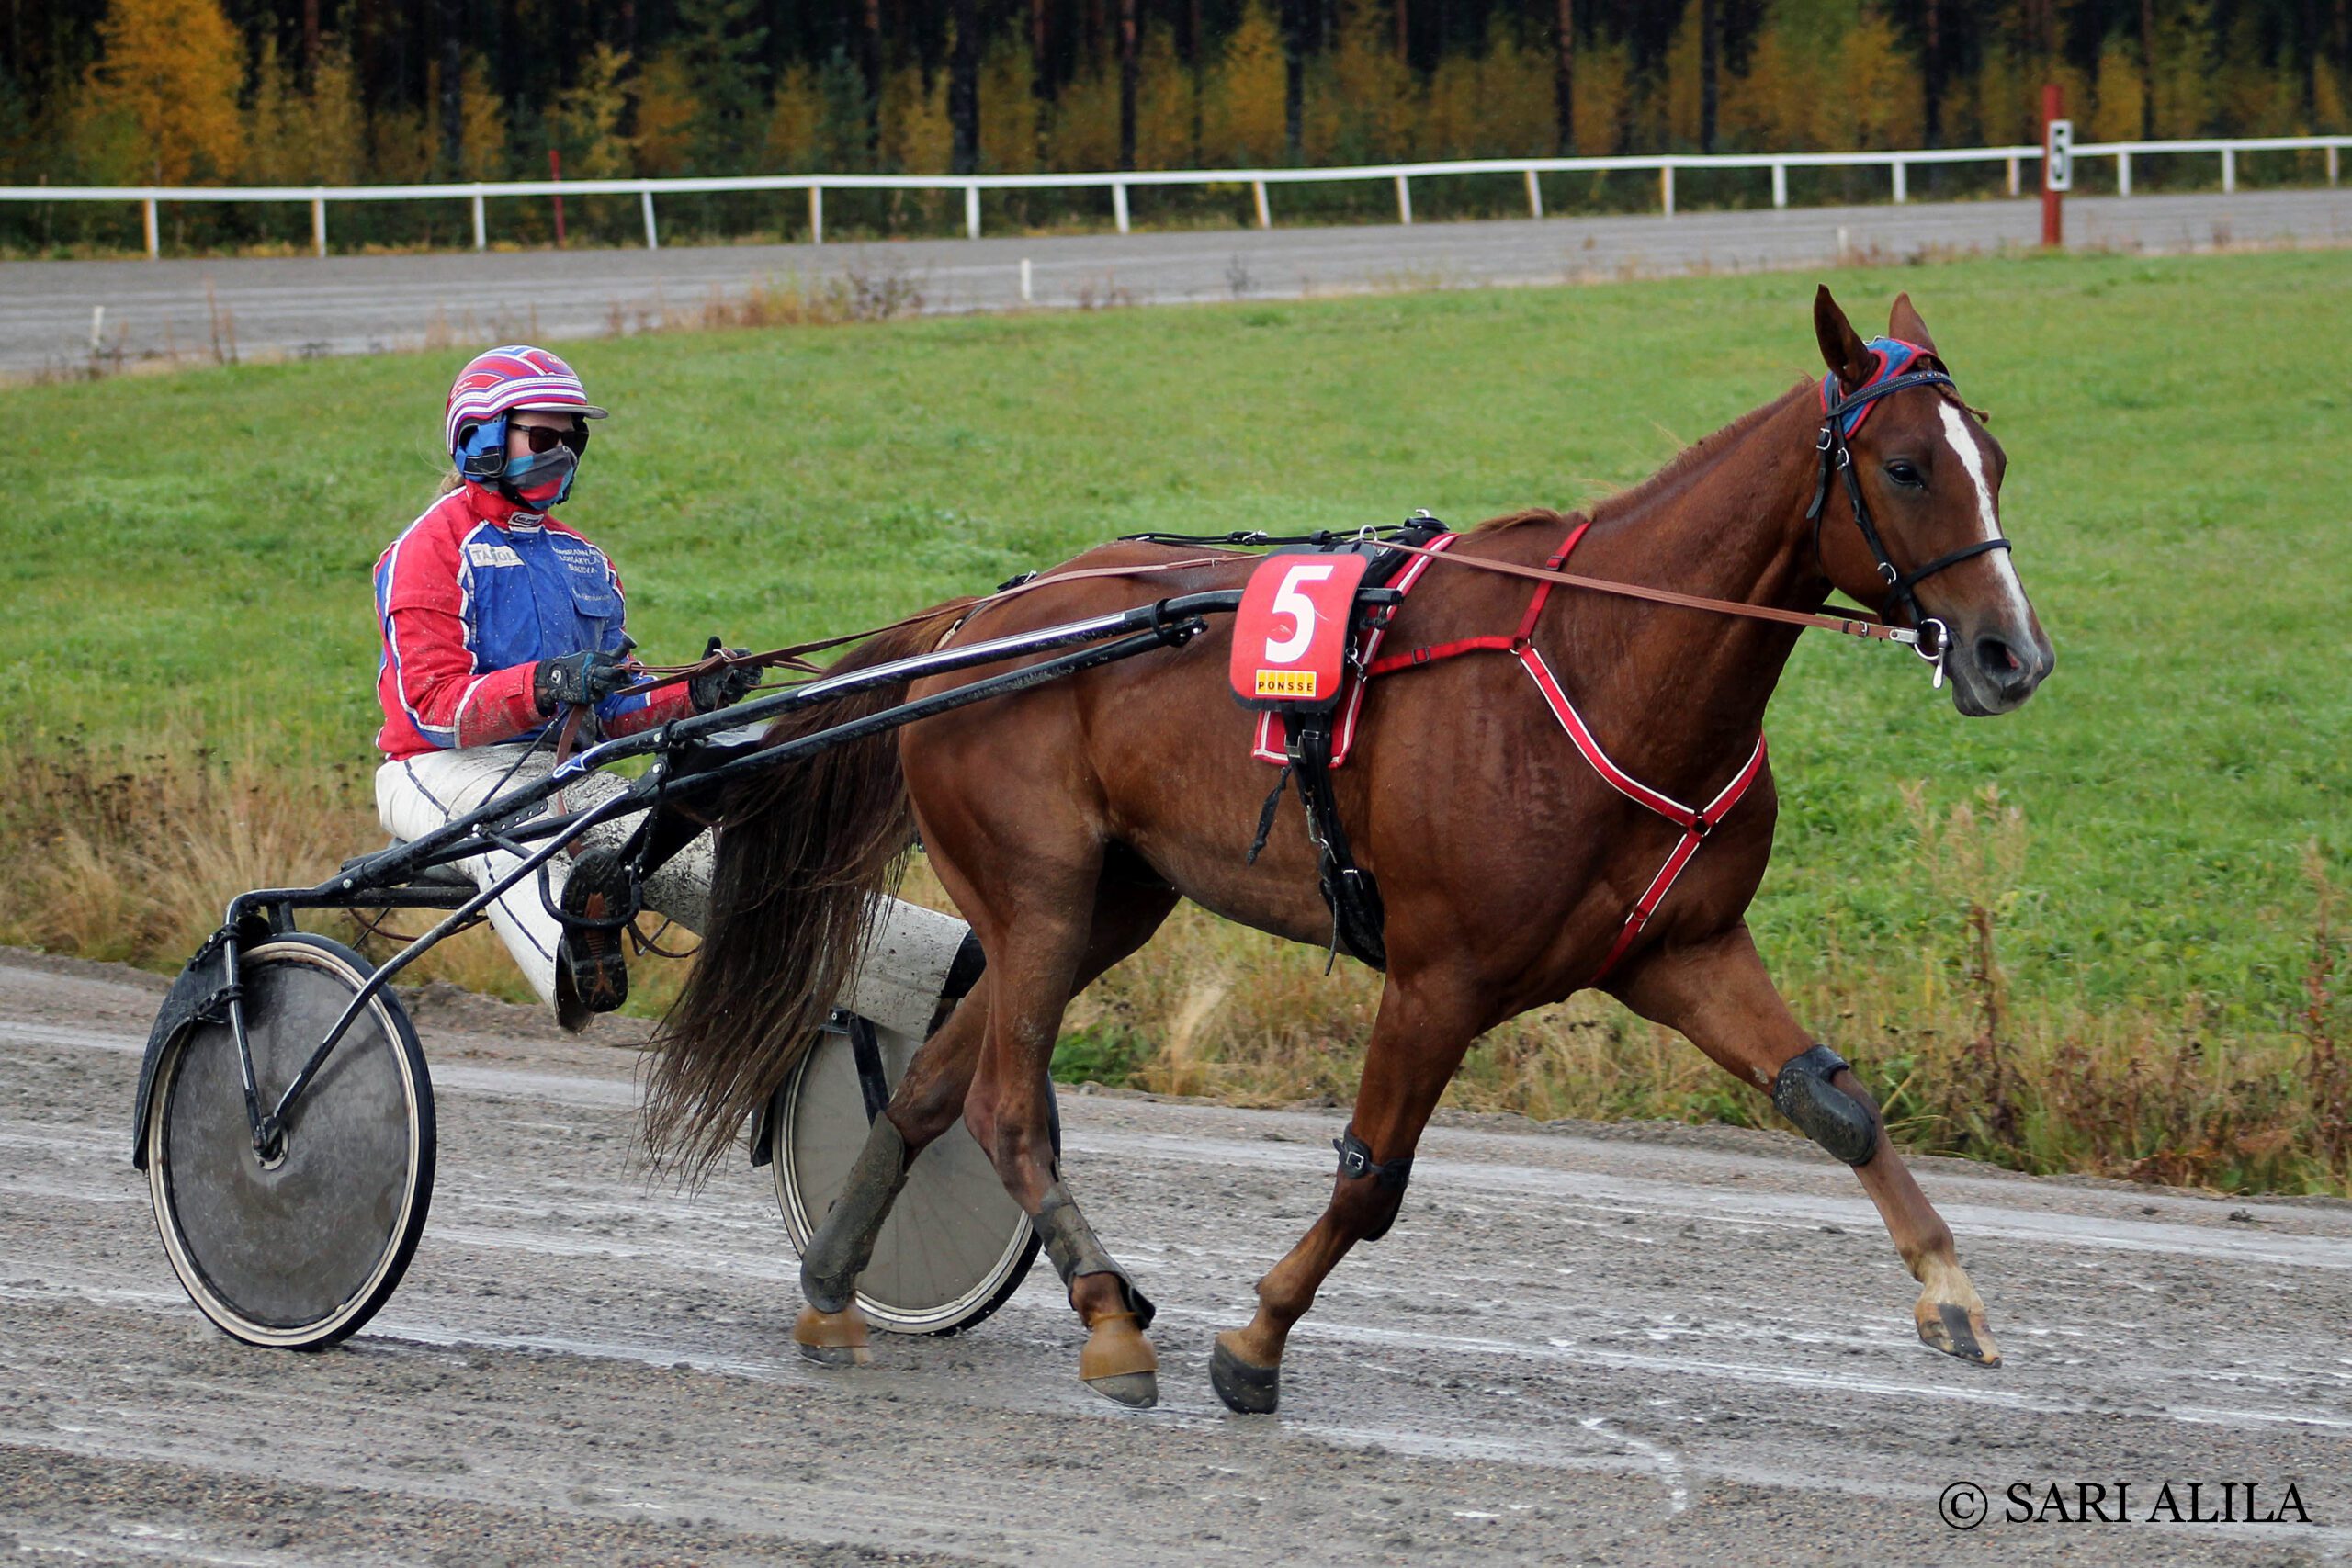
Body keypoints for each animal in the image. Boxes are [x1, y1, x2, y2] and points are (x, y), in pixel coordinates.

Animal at [648, 286, 2055, 1413]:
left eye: (1994, 455)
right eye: (1906, 466)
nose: (2012, 655)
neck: (1608, 659)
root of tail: (979, 620)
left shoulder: (1682, 948)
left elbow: (1836, 1103)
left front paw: (1953, 1292)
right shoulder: (1440, 977)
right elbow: (1373, 1181)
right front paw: (1256, 1341)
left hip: (1111, 899)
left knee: (933, 1088)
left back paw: (836, 1288)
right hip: (1038, 888)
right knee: (1001, 1101)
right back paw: (1107, 1317)